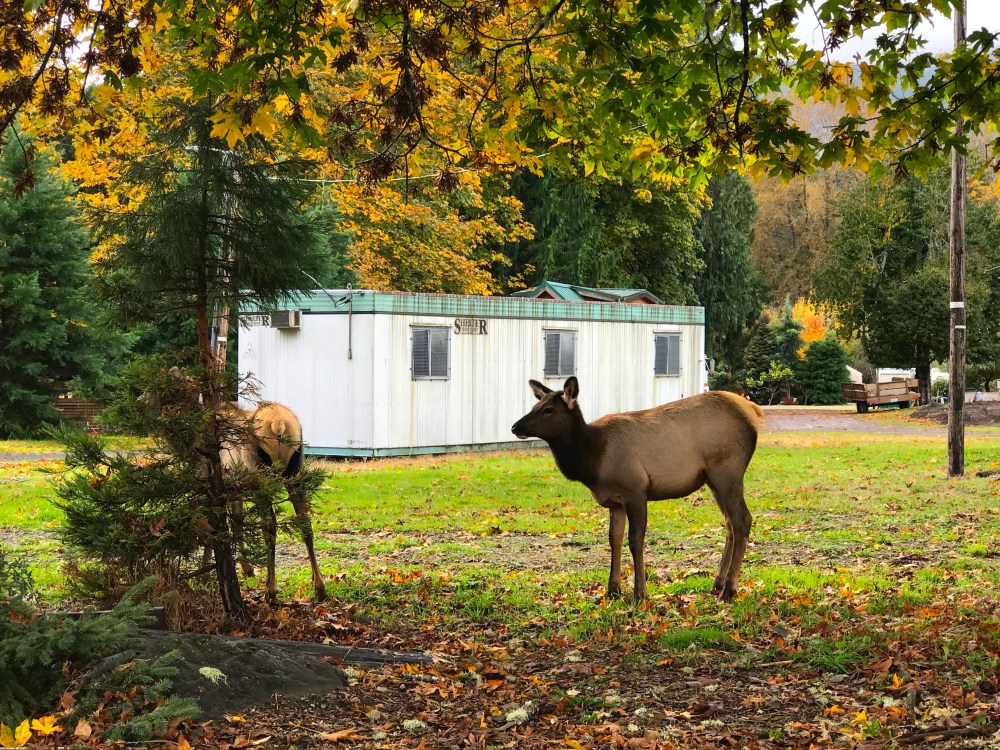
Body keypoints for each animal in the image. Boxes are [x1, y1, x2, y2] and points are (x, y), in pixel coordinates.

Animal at [511, 377, 763, 602]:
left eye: (548, 410)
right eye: (534, 406)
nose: (515, 426)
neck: (591, 460)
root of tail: (754, 412)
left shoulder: (636, 491)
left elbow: (635, 540)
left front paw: (640, 593)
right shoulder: (615, 501)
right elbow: (614, 539)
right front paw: (612, 591)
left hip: (727, 470)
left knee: (742, 520)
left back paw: (728, 590)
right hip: (713, 479)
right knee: (730, 523)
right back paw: (718, 583)